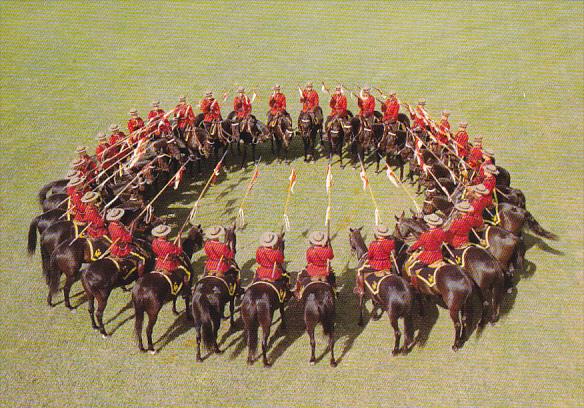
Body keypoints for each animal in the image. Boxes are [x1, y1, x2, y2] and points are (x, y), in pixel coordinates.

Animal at [190, 225, 238, 362]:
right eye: (235, 236)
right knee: (214, 332)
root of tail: (202, 295)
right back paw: (217, 349)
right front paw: (232, 323)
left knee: (198, 337)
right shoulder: (232, 296)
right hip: (213, 319)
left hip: (197, 320)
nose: (235, 250)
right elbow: (232, 309)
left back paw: (199, 357)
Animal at [346, 226, 416, 354]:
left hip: (393, 316)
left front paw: (361, 320)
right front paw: (374, 315)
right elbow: (375, 303)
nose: (352, 250)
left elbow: (361, 303)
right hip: (407, 315)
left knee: (398, 333)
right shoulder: (374, 294)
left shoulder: (362, 291)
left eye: (349, 237)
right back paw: (404, 349)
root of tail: (404, 293)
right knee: (407, 331)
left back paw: (395, 350)